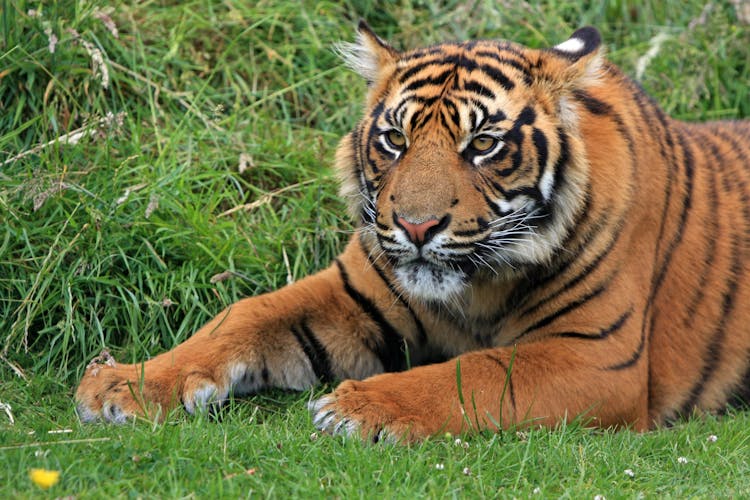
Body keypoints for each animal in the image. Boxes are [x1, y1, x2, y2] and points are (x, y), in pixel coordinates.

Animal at [75, 22, 750, 442]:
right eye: (395, 139)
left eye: (483, 144)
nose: (416, 225)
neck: (475, 288)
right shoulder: (351, 292)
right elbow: (242, 316)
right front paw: (123, 384)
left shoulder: (597, 355)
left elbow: (477, 371)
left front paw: (359, 406)